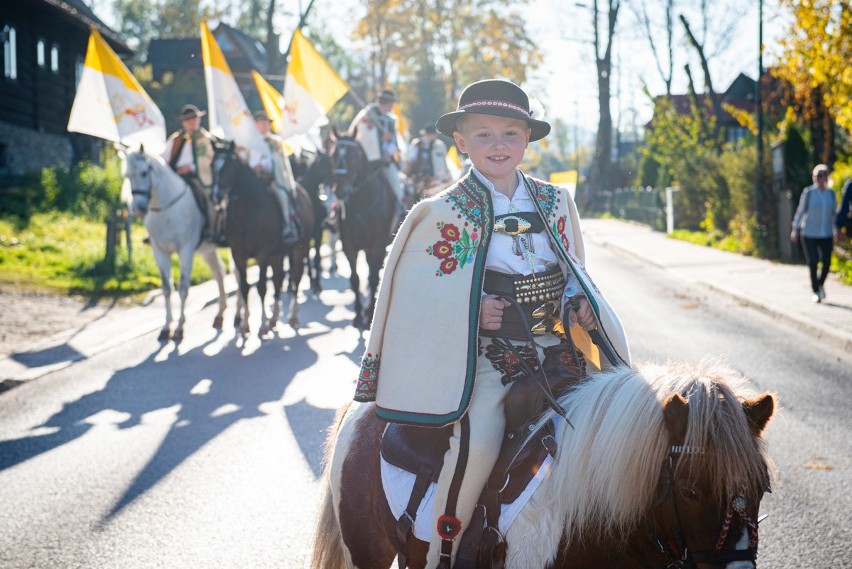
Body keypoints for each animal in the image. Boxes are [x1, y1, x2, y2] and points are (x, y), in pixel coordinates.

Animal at [121, 149, 226, 342]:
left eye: (144, 173)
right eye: (127, 176)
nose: (138, 208)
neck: (166, 210)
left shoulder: (186, 251)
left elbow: (183, 289)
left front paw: (179, 328)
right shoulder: (160, 252)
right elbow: (167, 289)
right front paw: (166, 327)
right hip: (208, 251)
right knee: (219, 274)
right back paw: (220, 315)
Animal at [212, 144, 316, 336]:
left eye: (228, 167)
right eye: (211, 166)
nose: (216, 196)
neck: (246, 213)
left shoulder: (263, 254)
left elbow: (261, 287)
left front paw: (261, 325)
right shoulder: (238, 254)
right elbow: (245, 286)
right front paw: (245, 325)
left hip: (300, 248)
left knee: (295, 278)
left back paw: (292, 316)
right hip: (278, 255)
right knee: (278, 281)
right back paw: (274, 318)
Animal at [332, 133, 402, 328]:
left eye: (354, 156)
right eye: (333, 154)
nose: (340, 190)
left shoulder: (377, 245)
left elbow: (372, 278)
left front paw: (370, 313)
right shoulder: (349, 246)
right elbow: (355, 278)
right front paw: (357, 314)